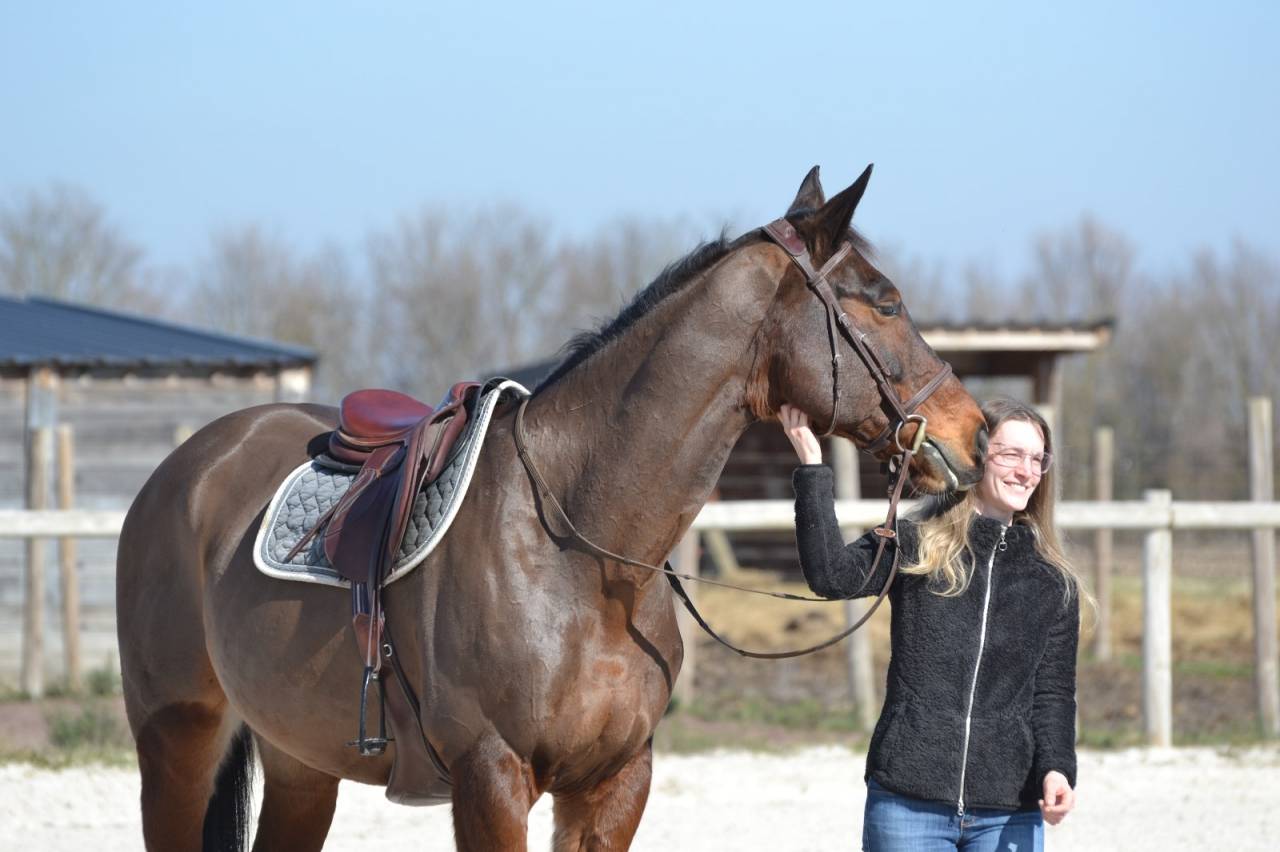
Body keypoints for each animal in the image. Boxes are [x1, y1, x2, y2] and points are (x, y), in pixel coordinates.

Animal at [116, 164, 988, 851]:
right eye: (881, 302)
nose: (974, 432)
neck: (582, 553)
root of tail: (187, 467)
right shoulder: (492, 780)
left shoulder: (613, 783)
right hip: (176, 743)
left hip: (300, 761)